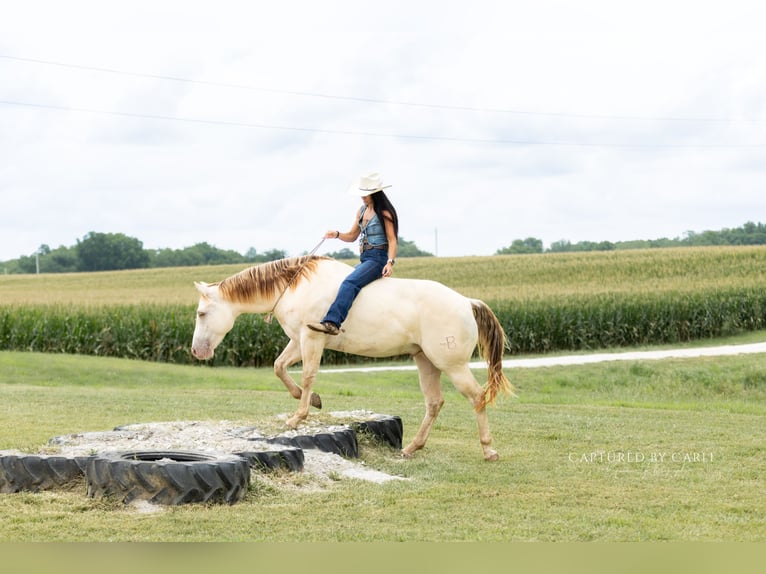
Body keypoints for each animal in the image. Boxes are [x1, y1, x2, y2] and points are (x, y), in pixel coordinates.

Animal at [191, 255, 513, 461]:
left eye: (201, 313)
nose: (196, 351)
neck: (295, 285)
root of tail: (466, 302)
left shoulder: (311, 340)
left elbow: (308, 375)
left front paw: (298, 417)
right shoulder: (297, 341)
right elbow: (279, 368)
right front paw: (313, 401)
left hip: (452, 366)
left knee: (477, 397)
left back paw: (489, 450)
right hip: (426, 362)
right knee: (434, 403)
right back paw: (411, 448)